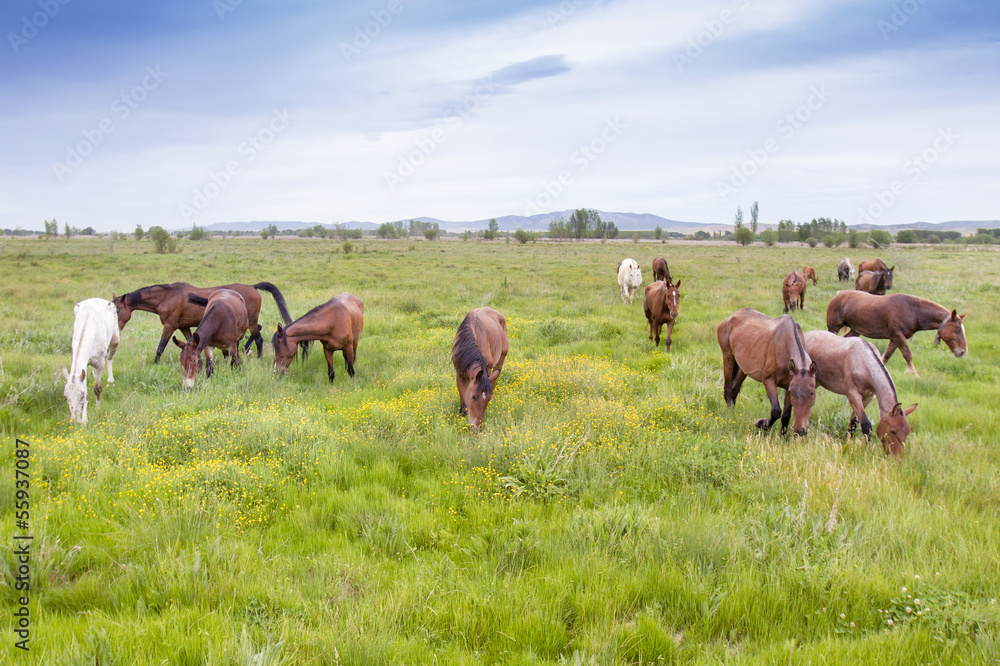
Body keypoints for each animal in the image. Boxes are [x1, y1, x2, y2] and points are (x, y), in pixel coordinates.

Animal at [113, 281, 292, 362]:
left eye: (117, 311)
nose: (116, 329)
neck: (167, 297)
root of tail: (252, 287)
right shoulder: (184, 327)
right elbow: (190, 342)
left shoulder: (169, 326)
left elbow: (160, 347)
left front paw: (154, 364)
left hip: (251, 322)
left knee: (259, 338)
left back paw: (258, 357)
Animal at [826, 290, 967, 376]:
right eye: (957, 329)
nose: (963, 352)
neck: (913, 310)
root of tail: (839, 294)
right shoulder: (898, 336)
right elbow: (907, 354)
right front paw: (914, 374)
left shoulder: (894, 338)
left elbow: (887, 355)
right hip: (834, 328)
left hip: (855, 330)